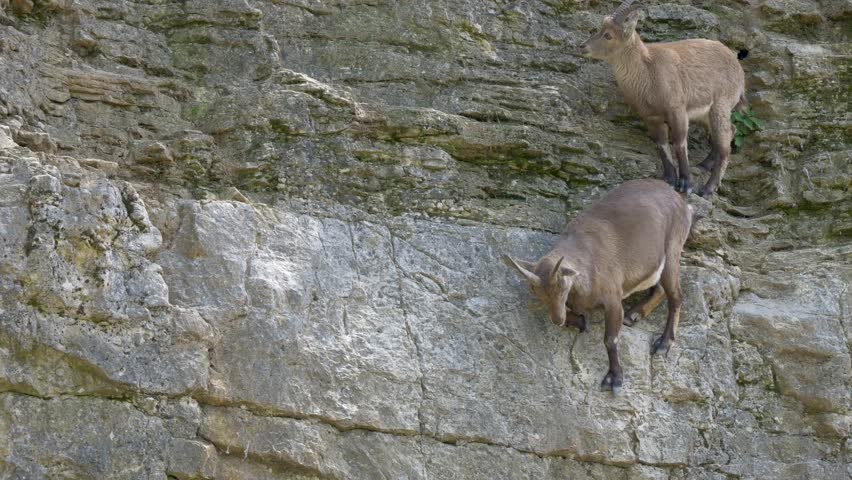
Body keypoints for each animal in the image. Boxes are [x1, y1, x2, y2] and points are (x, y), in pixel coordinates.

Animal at [505, 179, 692, 395]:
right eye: (538, 294)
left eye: (562, 287)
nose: (557, 320)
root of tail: (681, 202)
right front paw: (579, 321)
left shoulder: (612, 297)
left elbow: (610, 339)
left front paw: (615, 380)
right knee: (660, 289)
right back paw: (634, 314)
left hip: (673, 248)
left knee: (676, 296)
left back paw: (663, 343)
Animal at [580, 0, 746, 198]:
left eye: (608, 35)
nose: (582, 47)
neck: (647, 72)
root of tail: (738, 66)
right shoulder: (651, 117)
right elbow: (662, 145)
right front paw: (669, 179)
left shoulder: (677, 110)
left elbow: (680, 143)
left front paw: (686, 184)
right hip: (705, 115)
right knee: (731, 131)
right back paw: (704, 164)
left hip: (720, 105)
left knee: (725, 147)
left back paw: (708, 189)